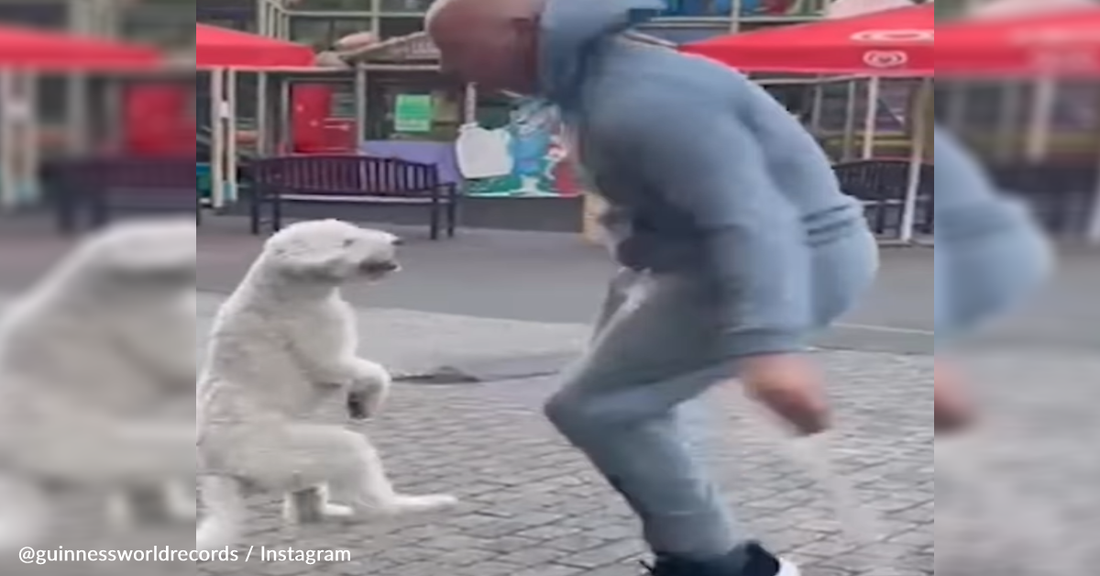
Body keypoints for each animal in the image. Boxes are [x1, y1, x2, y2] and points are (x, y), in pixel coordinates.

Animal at [196, 219, 455, 549]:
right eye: (348, 241)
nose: (398, 241)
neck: (285, 287)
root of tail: (221, 472)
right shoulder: (318, 338)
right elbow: (364, 370)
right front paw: (364, 400)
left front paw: (358, 401)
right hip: (301, 450)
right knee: (368, 492)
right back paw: (417, 504)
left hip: (294, 465)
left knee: (306, 506)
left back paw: (332, 512)